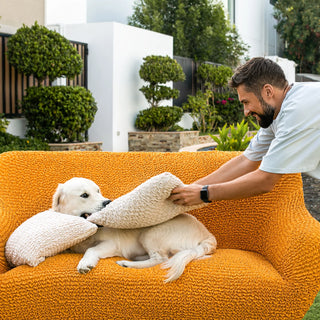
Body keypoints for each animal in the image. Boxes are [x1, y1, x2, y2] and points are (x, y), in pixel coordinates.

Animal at [53, 178, 218, 282]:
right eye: (84, 195)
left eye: (98, 191)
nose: (108, 202)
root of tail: (207, 235)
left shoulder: (112, 244)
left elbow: (91, 250)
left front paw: (85, 263)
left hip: (150, 234)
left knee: (160, 259)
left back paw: (128, 263)